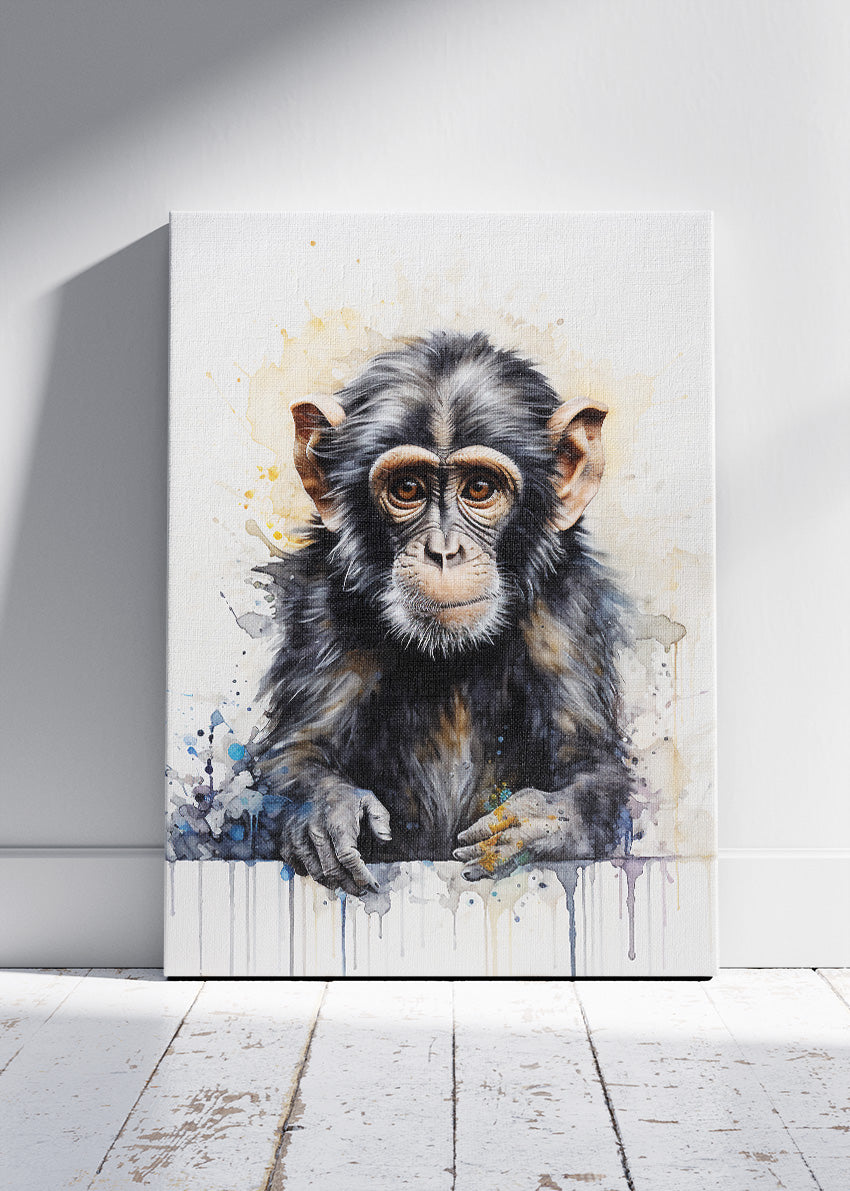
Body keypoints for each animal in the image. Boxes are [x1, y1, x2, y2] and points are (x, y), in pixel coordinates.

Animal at [250, 331, 632, 893]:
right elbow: (297, 749)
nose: (444, 551)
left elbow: (590, 759)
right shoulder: (322, 607)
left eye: (479, 489)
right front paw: (328, 810)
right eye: (407, 489)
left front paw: (541, 821)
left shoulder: (567, 613)